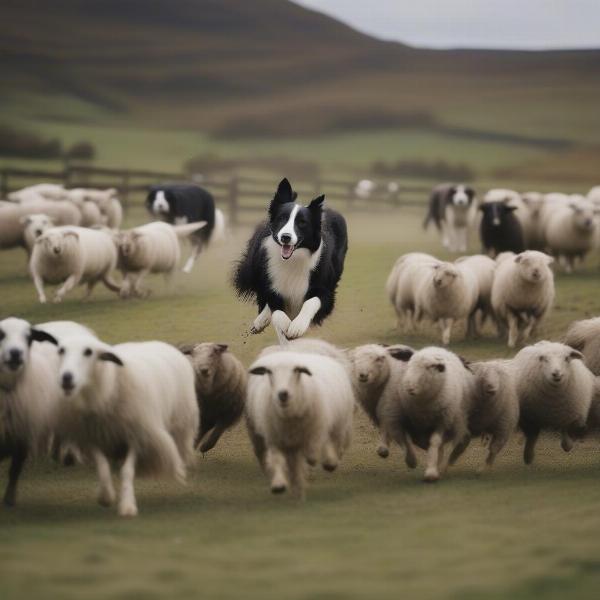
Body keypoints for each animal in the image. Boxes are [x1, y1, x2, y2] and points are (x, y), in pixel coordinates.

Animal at [0, 316, 61, 504]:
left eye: (29, 338)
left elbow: (14, 470)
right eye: (0, 334)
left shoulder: (22, 434)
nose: (15, 353)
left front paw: (9, 500)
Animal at [51, 330, 197, 516]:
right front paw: (106, 496)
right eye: (61, 351)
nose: (66, 377)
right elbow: (102, 466)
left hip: (180, 417)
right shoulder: (93, 437)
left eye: (88, 352)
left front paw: (127, 505)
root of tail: (162, 343)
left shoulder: (136, 434)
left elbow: (127, 471)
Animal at [234, 177, 346, 342]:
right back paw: (261, 321)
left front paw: (297, 326)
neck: (293, 260)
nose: (285, 237)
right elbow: (277, 313)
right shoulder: (271, 285)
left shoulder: (325, 290)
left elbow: (311, 302)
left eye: (302, 222)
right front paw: (285, 326)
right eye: (282, 218)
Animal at [245, 350, 354, 500]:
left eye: (296, 370)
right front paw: (279, 484)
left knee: (330, 441)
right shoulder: (274, 438)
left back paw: (328, 462)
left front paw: (317, 460)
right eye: (269, 372)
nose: (282, 394)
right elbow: (277, 460)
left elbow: (313, 451)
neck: (288, 416)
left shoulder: (315, 430)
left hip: (336, 423)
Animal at [382, 346, 476, 482]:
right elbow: (404, 440)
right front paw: (411, 461)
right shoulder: (407, 422)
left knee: (461, 442)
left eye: (428, 367)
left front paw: (431, 471)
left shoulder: (442, 421)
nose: (409, 387)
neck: (423, 406)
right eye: (409, 364)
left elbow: (434, 442)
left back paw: (443, 466)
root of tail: (435, 348)